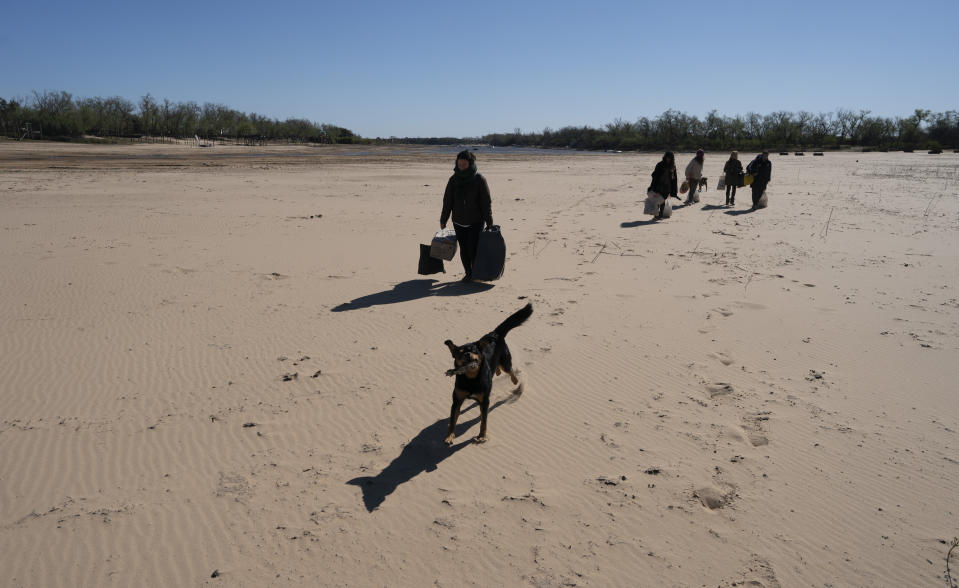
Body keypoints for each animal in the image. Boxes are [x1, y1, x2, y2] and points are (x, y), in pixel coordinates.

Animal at [444, 306, 532, 444]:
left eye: (474, 350)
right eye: (460, 353)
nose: (467, 354)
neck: (471, 379)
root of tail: (495, 333)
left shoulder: (485, 401)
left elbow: (483, 422)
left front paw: (482, 436)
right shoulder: (457, 400)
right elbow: (453, 420)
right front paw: (449, 437)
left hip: (505, 360)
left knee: (510, 370)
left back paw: (515, 381)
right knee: (498, 368)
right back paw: (497, 372)